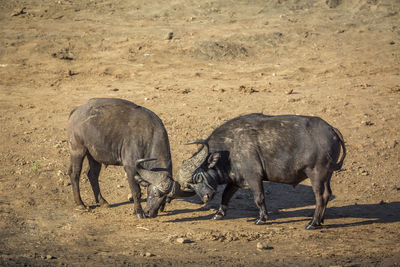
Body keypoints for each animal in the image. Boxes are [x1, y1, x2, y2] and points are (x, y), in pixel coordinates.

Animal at [177, 114, 346, 229]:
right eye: (190, 186)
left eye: (198, 177)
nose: (205, 198)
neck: (230, 148)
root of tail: (331, 129)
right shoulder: (235, 180)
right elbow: (225, 196)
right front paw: (218, 214)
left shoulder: (253, 177)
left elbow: (259, 198)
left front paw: (261, 218)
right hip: (327, 175)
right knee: (327, 194)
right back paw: (320, 221)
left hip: (317, 174)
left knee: (320, 197)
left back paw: (313, 223)